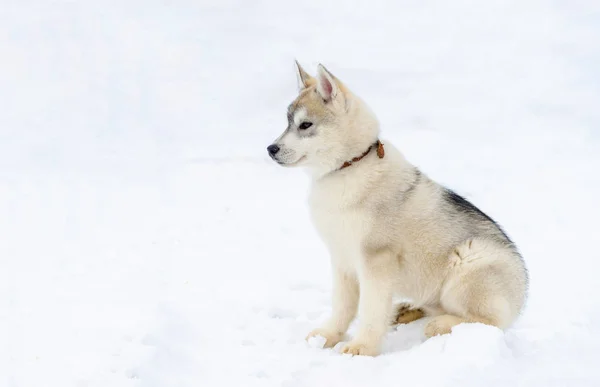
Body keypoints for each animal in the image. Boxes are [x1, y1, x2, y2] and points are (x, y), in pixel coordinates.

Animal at [266, 61, 524, 358]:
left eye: (305, 125)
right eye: (287, 123)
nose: (271, 149)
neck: (349, 166)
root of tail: (522, 298)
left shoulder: (375, 261)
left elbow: (370, 310)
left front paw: (362, 347)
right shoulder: (341, 258)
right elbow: (342, 305)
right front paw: (328, 335)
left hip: (470, 261)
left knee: (489, 321)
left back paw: (440, 324)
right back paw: (408, 309)